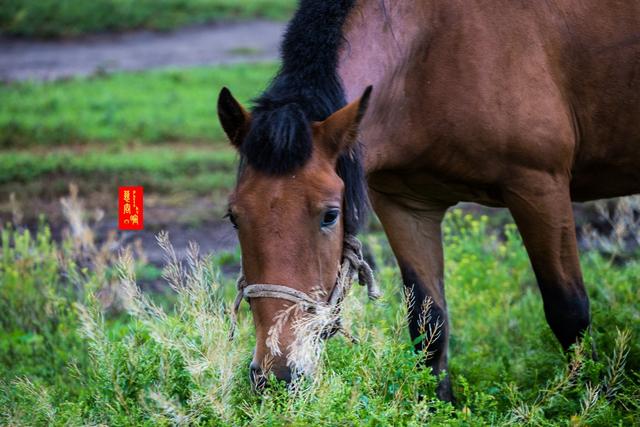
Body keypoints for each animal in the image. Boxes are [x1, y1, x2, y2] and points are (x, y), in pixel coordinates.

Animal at [216, 0, 640, 402]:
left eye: (330, 215)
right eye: (234, 217)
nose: (277, 375)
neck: (432, 51)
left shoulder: (539, 187)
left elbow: (569, 310)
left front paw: (592, 399)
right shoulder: (404, 205)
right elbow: (428, 322)